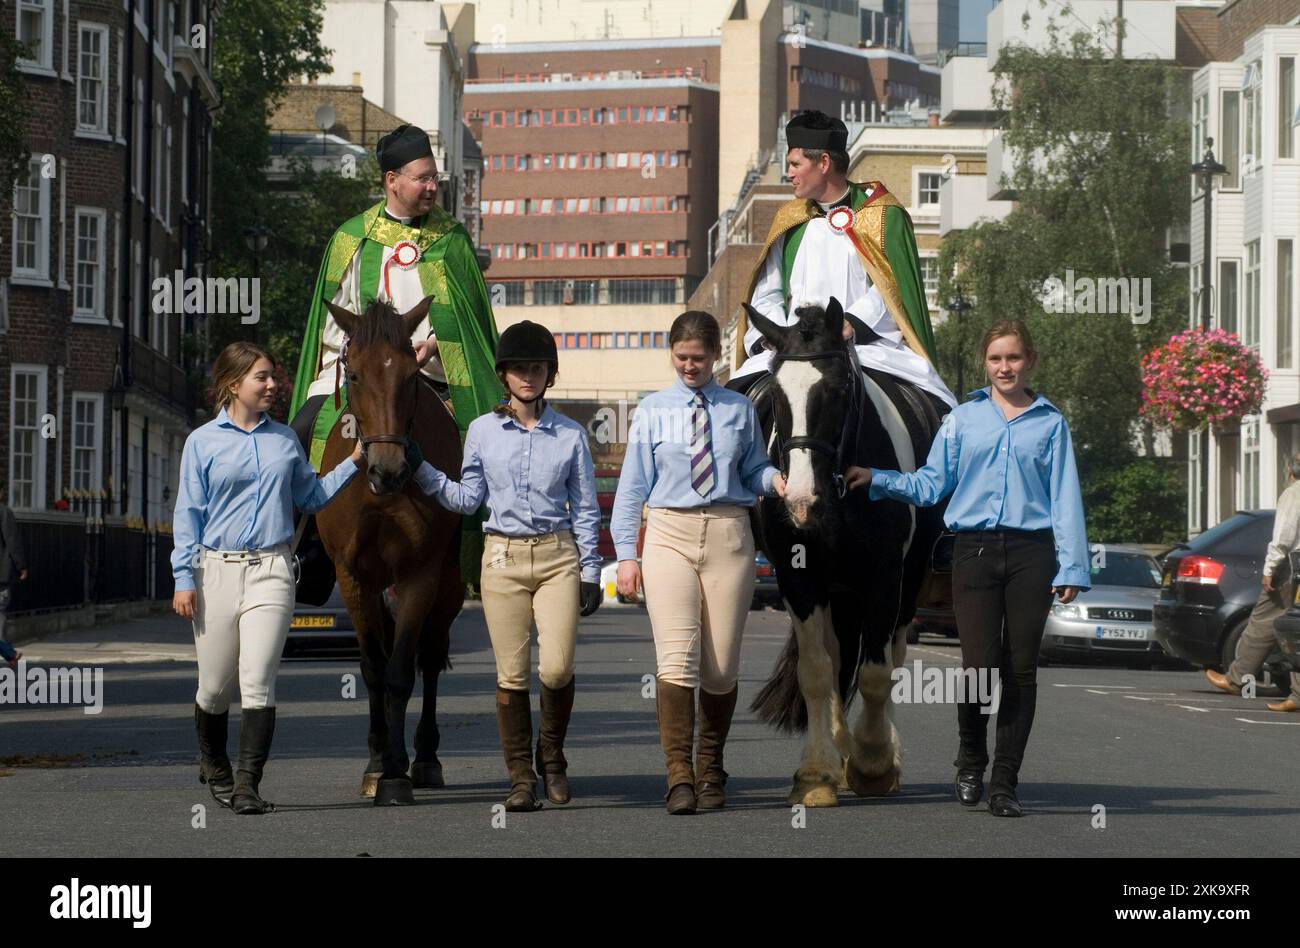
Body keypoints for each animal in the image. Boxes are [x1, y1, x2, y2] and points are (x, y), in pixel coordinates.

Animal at [315, 297, 467, 806]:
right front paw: (378, 763)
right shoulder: (353, 576)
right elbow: (374, 669)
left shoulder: (420, 573)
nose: (389, 471)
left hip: (448, 585)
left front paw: (398, 772)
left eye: (410, 375)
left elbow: (402, 670)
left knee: (431, 656)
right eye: (354, 373)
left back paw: (426, 757)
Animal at [743, 297, 946, 806]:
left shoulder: (885, 574)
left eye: (837, 391)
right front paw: (817, 774)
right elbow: (817, 671)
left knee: (891, 655)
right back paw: (839, 752)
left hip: (909, 579)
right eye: (778, 397)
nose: (799, 500)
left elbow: (876, 672)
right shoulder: (799, 577)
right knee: (836, 660)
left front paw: (873, 762)